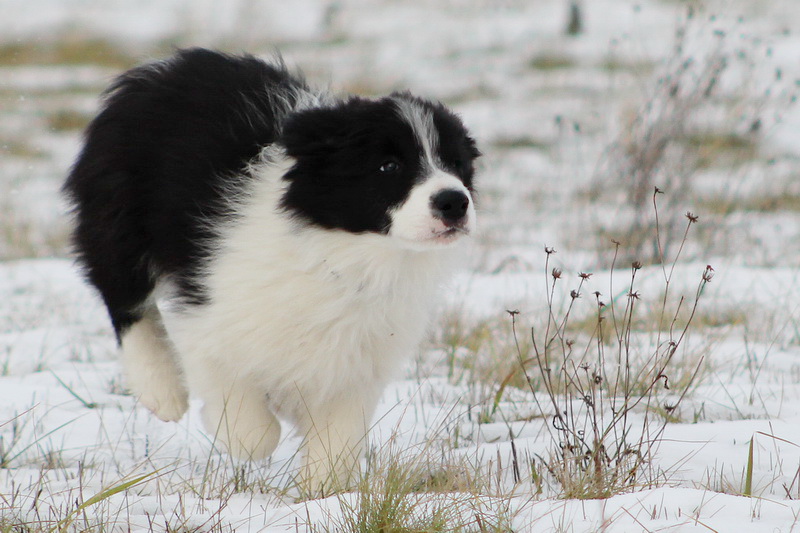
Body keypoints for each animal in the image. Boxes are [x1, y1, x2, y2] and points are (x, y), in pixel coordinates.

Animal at [65, 48, 478, 490]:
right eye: (388, 166)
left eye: (456, 163)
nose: (454, 201)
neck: (348, 253)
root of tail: (159, 68)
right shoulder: (211, 311)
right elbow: (251, 429)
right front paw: (250, 427)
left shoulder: (359, 356)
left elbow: (339, 436)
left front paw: (323, 492)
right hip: (116, 217)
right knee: (123, 296)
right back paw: (162, 391)